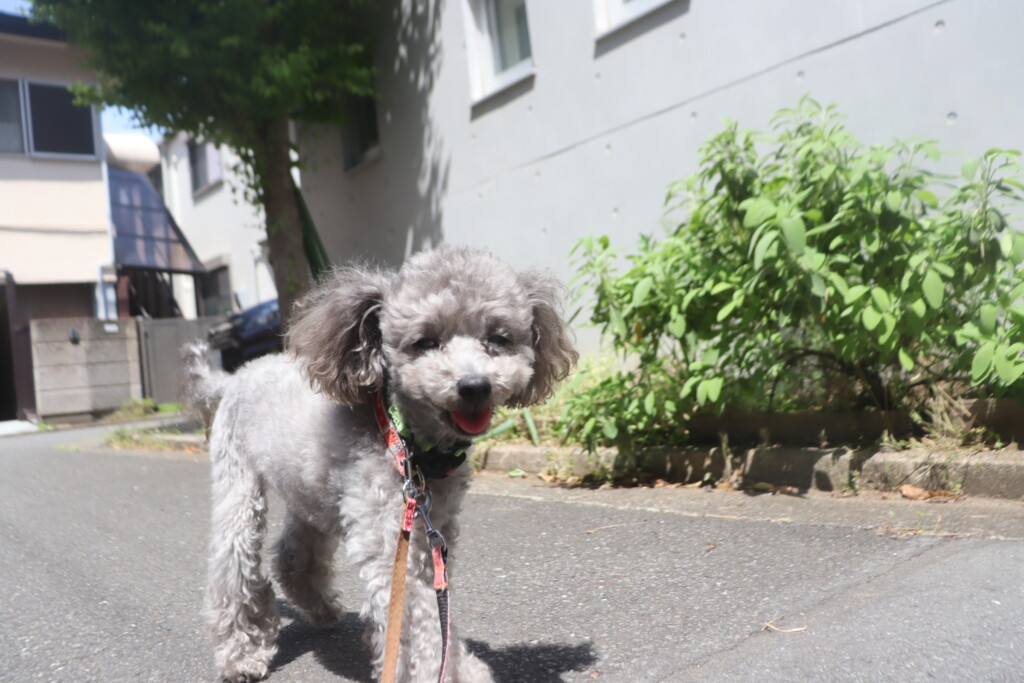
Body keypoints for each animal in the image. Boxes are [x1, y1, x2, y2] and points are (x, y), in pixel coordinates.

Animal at [184, 245, 577, 682]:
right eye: (425, 342)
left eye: (498, 338)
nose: (474, 386)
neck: (405, 442)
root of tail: (236, 375)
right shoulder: (391, 538)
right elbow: (419, 620)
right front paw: (445, 672)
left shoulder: (434, 529)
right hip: (238, 482)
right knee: (234, 565)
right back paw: (242, 654)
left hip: (312, 493)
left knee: (292, 554)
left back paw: (322, 609)